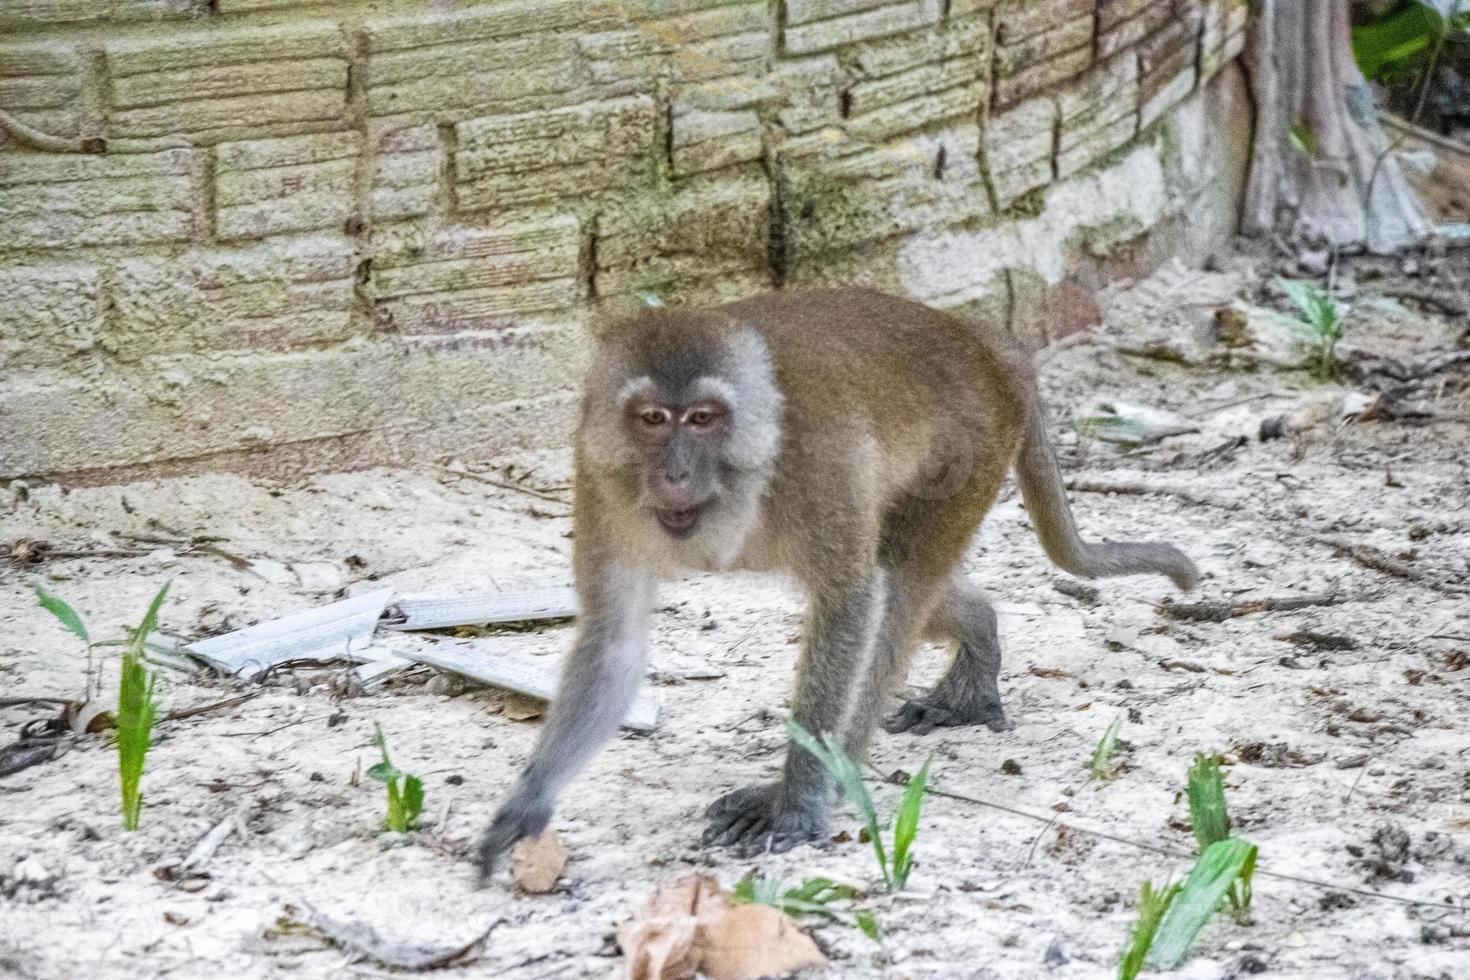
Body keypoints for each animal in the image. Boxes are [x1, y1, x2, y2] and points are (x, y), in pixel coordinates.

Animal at [479, 287, 1193, 875]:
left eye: (703, 418)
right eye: (653, 418)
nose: (676, 474)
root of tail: (985, 342)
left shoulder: (818, 466)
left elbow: (852, 604)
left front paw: (797, 800)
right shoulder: (598, 477)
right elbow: (614, 639)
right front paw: (526, 805)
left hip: (976, 451)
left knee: (898, 591)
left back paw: (837, 768)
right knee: (917, 592)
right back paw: (977, 637)